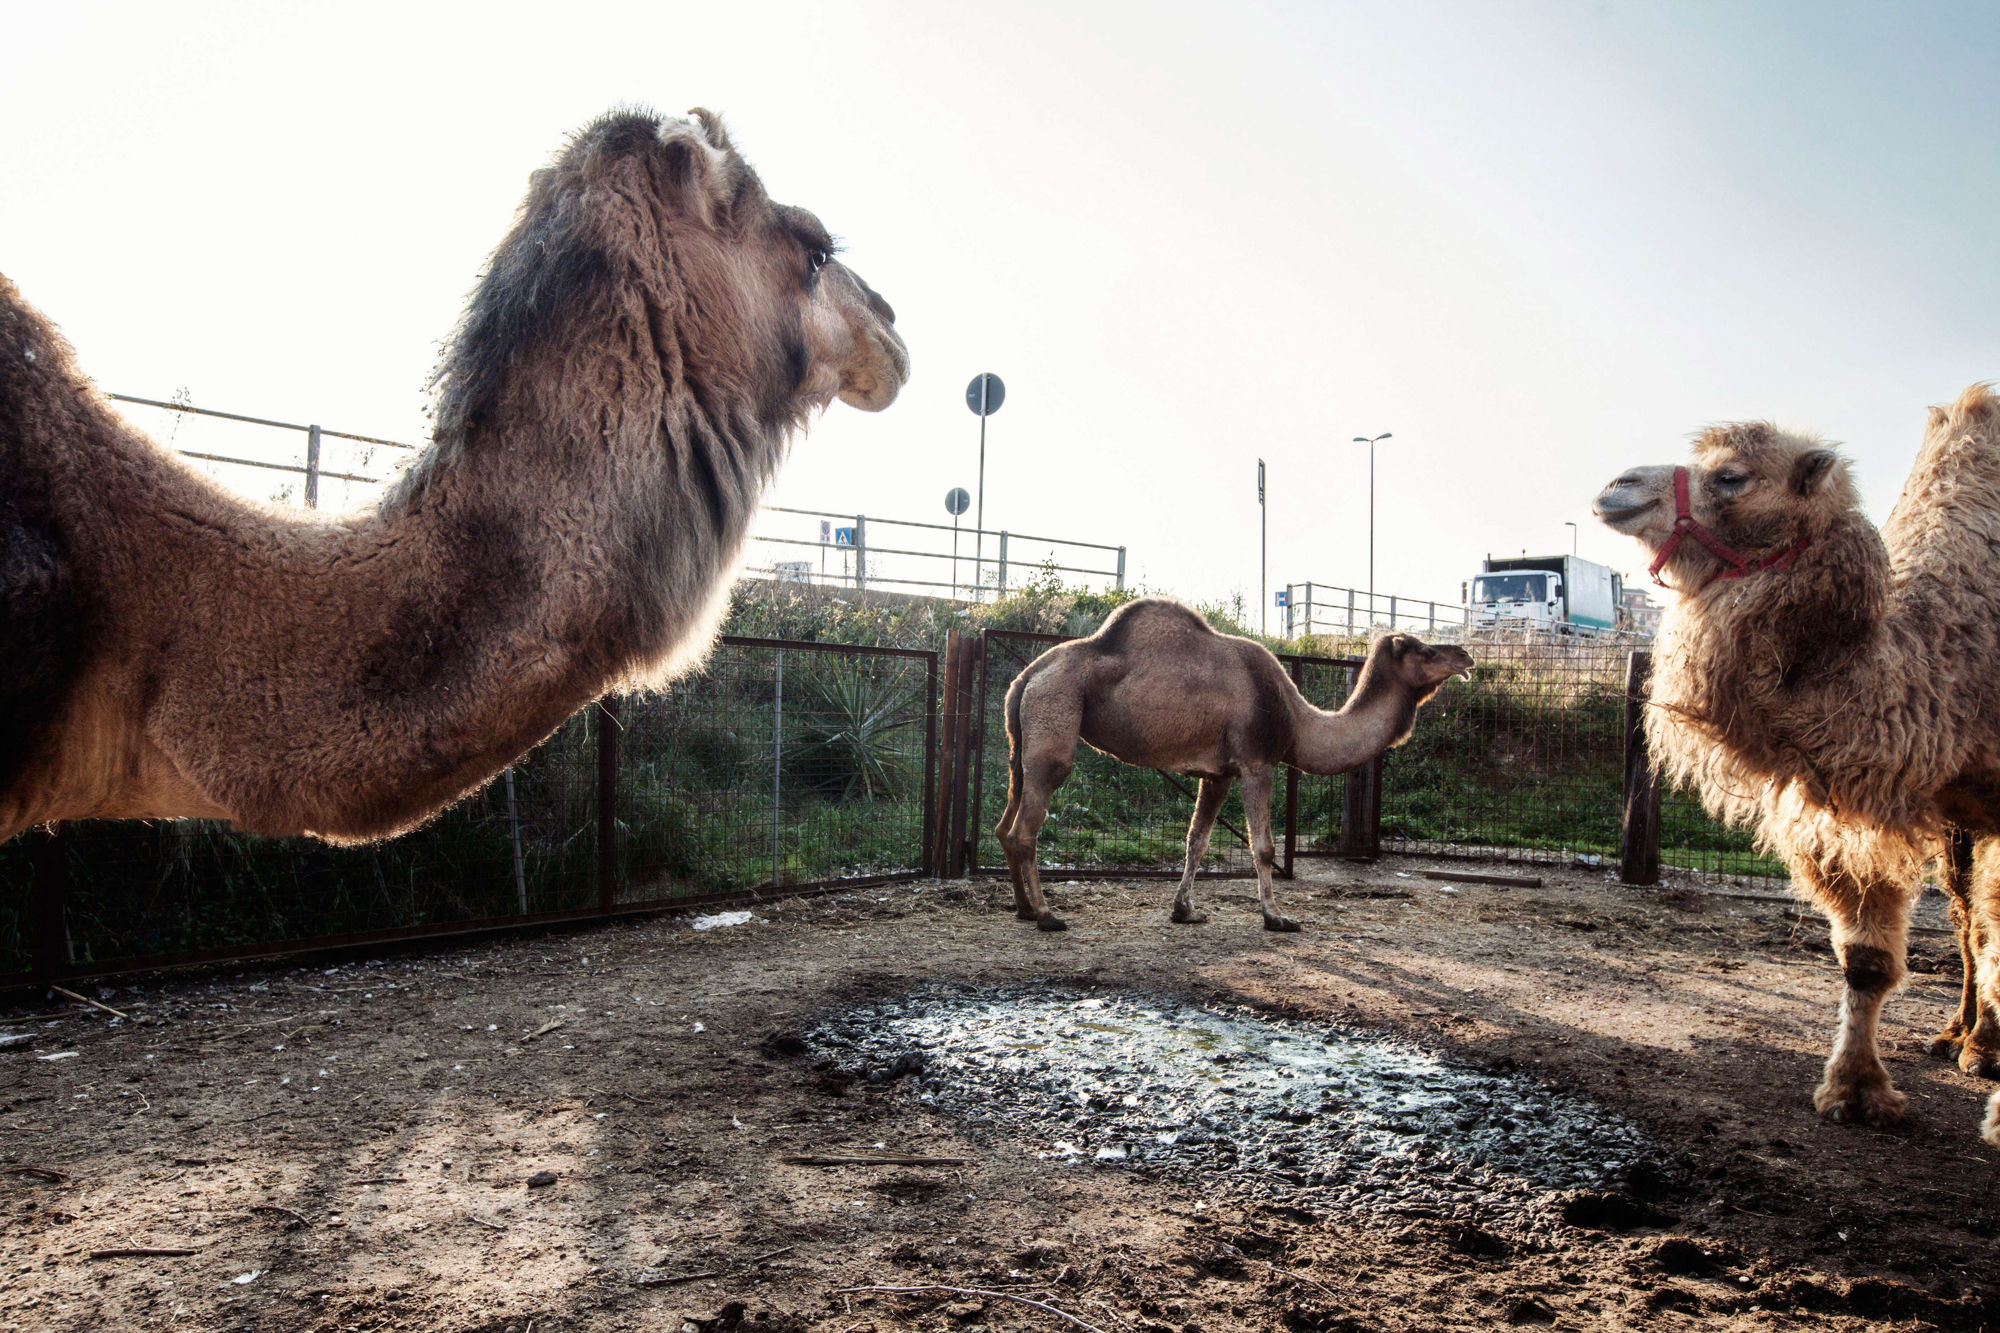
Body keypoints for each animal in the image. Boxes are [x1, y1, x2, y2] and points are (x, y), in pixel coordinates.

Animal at [996, 596, 1480, 928]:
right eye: (1425, 651)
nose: (1466, 655)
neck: (1297, 718)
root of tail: (1025, 676)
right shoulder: (1256, 762)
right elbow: (1263, 846)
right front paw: (1275, 917)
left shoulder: (1218, 774)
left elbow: (1197, 840)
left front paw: (1184, 910)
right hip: (1055, 718)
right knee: (1025, 828)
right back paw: (1047, 915)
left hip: (1021, 743)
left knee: (1005, 823)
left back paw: (1022, 909)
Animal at [1592, 378, 2000, 1136]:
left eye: (1732, 475)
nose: (1615, 486)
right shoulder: (1849, 815)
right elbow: (1866, 960)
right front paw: (1855, 1090)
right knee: (1968, 920)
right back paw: (1961, 1036)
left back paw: (1983, 1047)